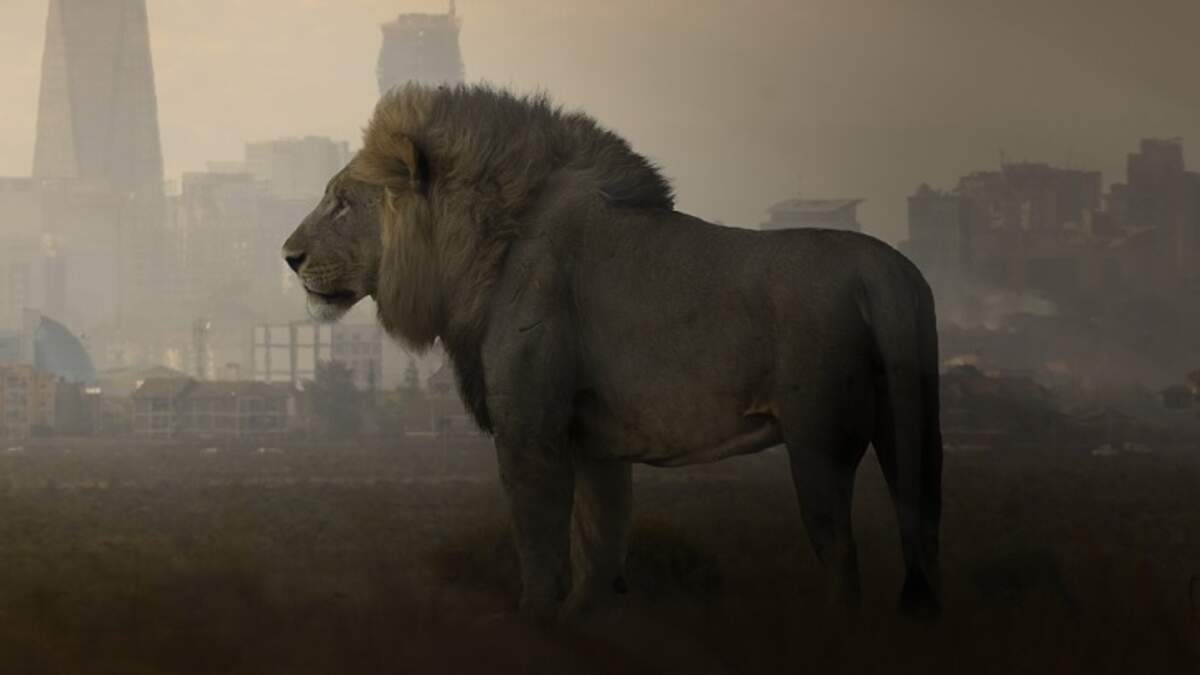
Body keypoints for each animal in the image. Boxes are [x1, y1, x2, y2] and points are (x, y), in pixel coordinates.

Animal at [283, 84, 945, 619]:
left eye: (342, 202)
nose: (288, 256)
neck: (476, 248)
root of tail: (887, 272)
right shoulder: (594, 442)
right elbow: (599, 545)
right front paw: (585, 622)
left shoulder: (531, 430)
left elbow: (540, 540)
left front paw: (535, 624)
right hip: (911, 431)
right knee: (919, 529)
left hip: (818, 444)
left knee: (842, 561)